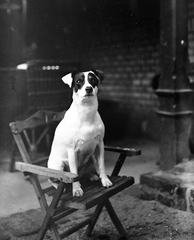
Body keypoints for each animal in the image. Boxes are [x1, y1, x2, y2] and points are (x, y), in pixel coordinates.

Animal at [47, 69, 113, 197]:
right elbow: (74, 173)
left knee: (84, 172)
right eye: (78, 81)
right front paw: (76, 189)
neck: (86, 111)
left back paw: (91, 175)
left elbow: (101, 165)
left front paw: (105, 180)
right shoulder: (72, 150)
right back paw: (59, 187)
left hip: (92, 157)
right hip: (58, 165)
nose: (89, 89)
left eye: (93, 80)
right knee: (52, 179)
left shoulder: (100, 144)